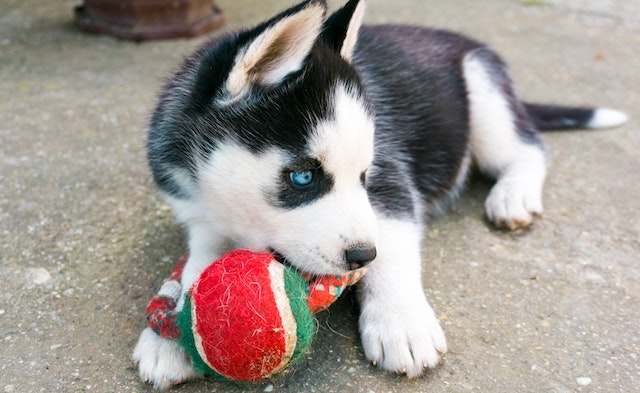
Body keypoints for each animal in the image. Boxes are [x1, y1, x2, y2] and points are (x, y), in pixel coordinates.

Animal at [132, 0, 628, 386]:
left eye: (364, 175)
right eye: (302, 178)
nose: (361, 256)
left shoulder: (390, 179)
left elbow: (394, 247)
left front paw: (400, 321)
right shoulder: (196, 211)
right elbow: (197, 264)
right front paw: (170, 332)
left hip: (483, 92)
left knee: (527, 148)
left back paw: (513, 194)